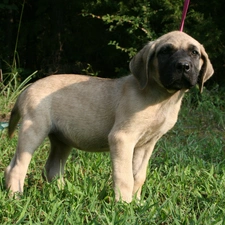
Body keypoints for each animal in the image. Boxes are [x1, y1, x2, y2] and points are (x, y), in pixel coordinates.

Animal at [4, 30, 213, 202]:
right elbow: (125, 177)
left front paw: (137, 203)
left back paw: (63, 193)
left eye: (194, 53)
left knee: (51, 169)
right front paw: (124, 205)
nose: (183, 66)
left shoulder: (146, 144)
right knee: (17, 168)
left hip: (61, 140)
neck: (161, 98)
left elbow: (139, 176)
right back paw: (16, 197)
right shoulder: (122, 139)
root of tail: (26, 89)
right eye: (165, 51)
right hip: (34, 130)